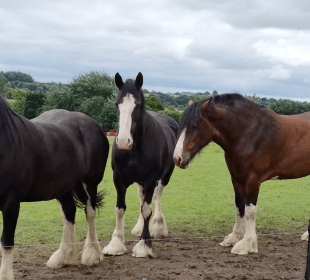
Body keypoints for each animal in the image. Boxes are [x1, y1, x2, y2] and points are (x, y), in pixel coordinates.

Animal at [0, 94, 109, 280]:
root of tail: (92, 123)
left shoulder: (11, 203)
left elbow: (6, 242)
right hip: (63, 186)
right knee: (69, 212)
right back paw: (64, 256)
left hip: (90, 182)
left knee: (90, 213)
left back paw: (92, 254)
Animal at [103, 72, 178, 258]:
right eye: (117, 103)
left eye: (137, 105)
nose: (123, 141)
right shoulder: (119, 180)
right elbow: (120, 209)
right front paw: (116, 243)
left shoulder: (151, 180)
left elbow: (147, 210)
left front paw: (145, 244)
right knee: (142, 197)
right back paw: (138, 227)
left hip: (164, 177)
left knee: (157, 197)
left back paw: (157, 226)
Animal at [173, 93, 310, 255]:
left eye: (195, 125)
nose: (177, 158)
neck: (248, 133)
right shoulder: (237, 178)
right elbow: (239, 207)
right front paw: (234, 237)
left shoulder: (253, 180)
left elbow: (250, 211)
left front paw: (247, 244)